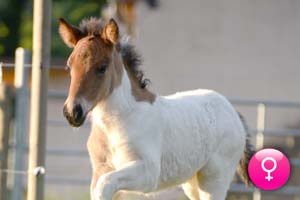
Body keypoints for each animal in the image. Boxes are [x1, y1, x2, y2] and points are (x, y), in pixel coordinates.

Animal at [59, 17, 252, 200]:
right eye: (69, 67)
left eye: (102, 68)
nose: (72, 112)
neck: (117, 121)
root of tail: (233, 111)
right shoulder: (101, 170)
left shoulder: (148, 172)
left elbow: (104, 185)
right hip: (192, 182)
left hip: (214, 178)